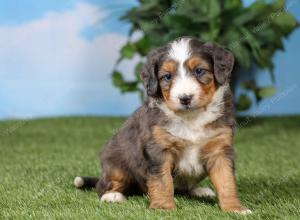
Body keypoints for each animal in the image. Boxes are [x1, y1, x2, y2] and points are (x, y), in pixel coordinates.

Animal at [74, 37, 252, 214]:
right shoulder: (158, 149)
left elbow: (226, 181)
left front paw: (235, 208)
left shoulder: (220, 150)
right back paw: (112, 195)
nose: (185, 98)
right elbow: (162, 181)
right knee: (104, 184)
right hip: (116, 163)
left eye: (199, 71)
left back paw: (200, 191)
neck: (191, 118)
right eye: (167, 76)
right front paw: (164, 207)